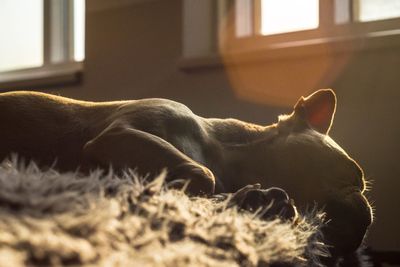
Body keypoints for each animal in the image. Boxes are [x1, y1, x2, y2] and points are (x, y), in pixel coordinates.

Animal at [0, 89, 372, 258]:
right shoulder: (120, 133)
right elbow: (203, 174)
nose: (368, 216)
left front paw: (256, 199)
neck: (223, 150)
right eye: (352, 174)